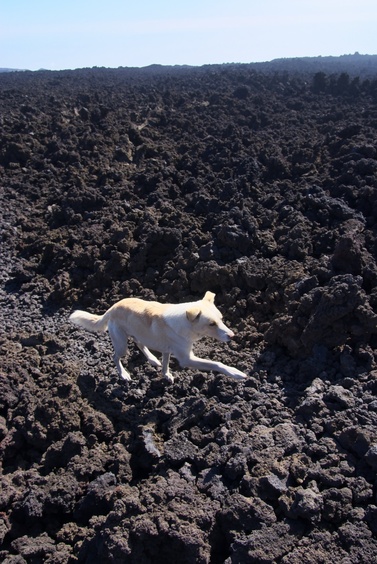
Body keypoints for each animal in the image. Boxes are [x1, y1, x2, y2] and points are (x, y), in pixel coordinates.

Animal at [69, 294, 247, 382]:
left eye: (221, 319)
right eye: (211, 324)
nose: (232, 336)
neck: (186, 323)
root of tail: (111, 308)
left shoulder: (167, 349)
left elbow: (166, 363)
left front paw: (165, 374)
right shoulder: (187, 359)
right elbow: (216, 363)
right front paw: (235, 372)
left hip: (137, 333)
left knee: (139, 342)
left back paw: (152, 359)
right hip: (121, 344)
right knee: (115, 357)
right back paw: (123, 374)